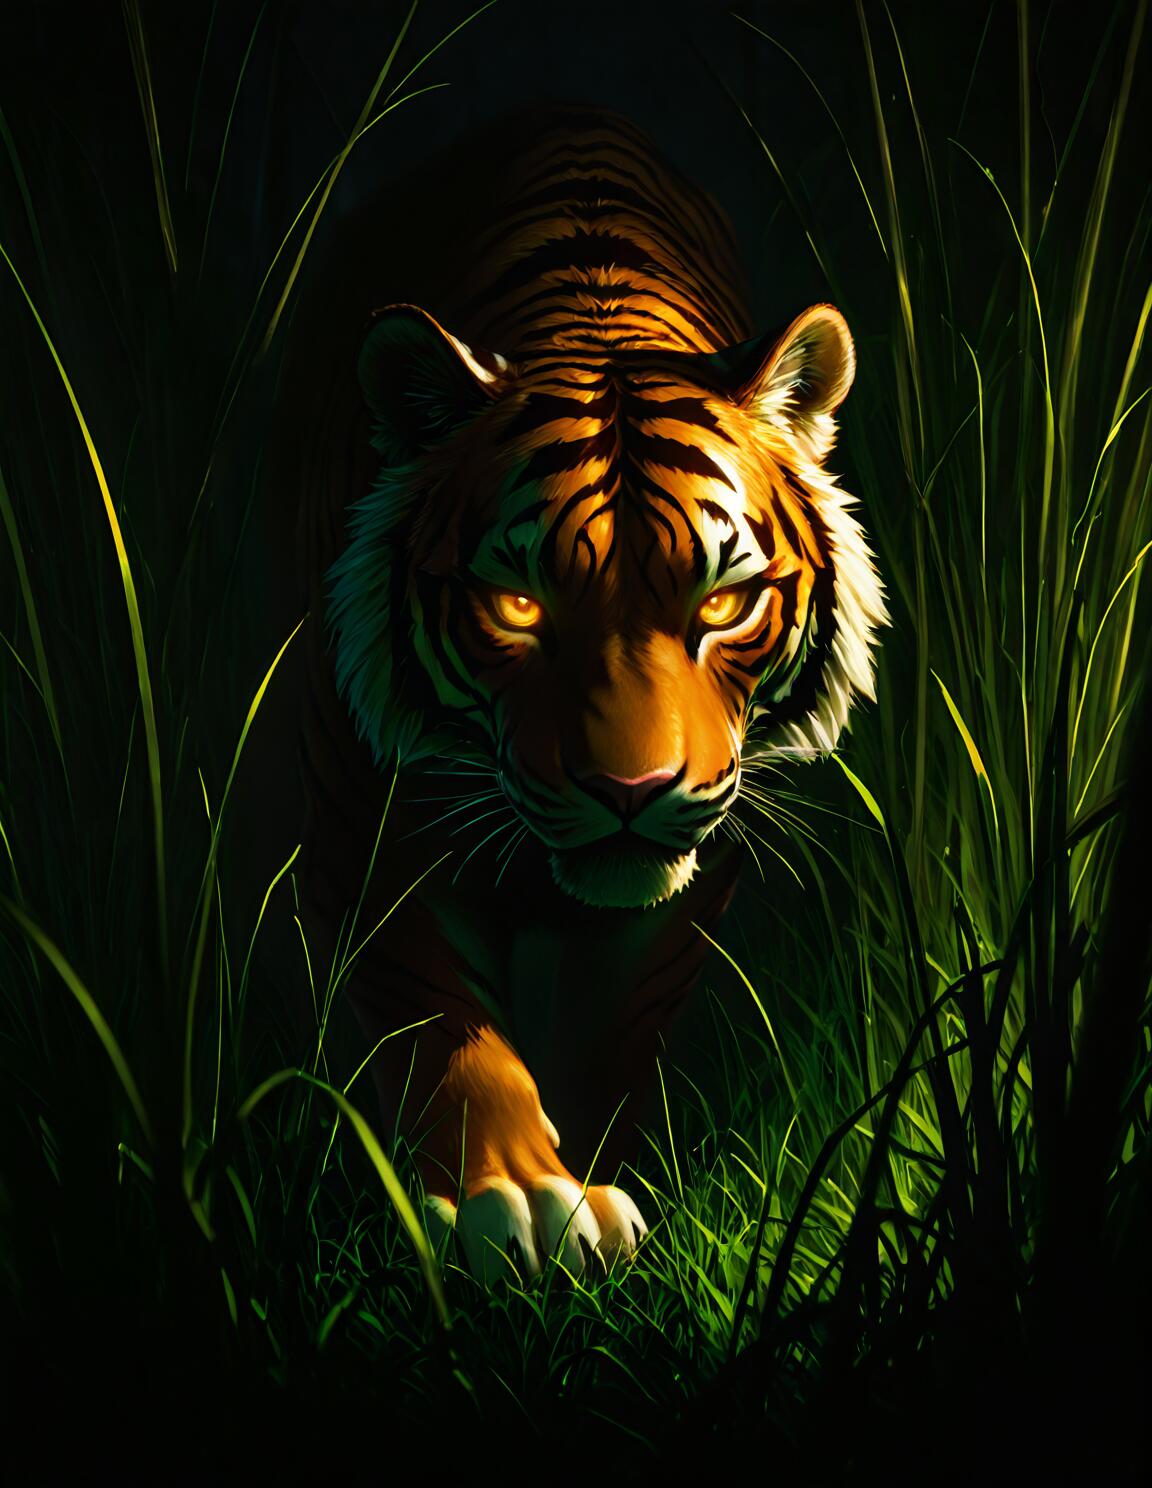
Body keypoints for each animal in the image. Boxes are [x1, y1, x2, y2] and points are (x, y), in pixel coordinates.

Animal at [281, 105, 887, 1282]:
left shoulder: (697, 873)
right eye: (519, 605)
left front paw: (596, 1180)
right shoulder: (355, 808)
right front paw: (515, 1196)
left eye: (724, 602)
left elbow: (619, 1024)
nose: (632, 791)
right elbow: (435, 1012)